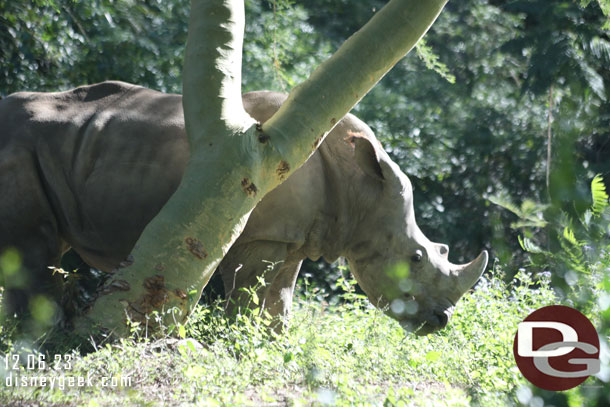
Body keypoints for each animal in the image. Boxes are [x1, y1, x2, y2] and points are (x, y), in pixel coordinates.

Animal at [0, 82, 484, 334]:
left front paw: (274, 344)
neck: (360, 189)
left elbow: (280, 297)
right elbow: (250, 295)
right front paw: (235, 344)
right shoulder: (261, 236)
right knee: (34, 251)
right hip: (21, 145)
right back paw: (40, 341)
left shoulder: (293, 236)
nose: (441, 321)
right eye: (416, 257)